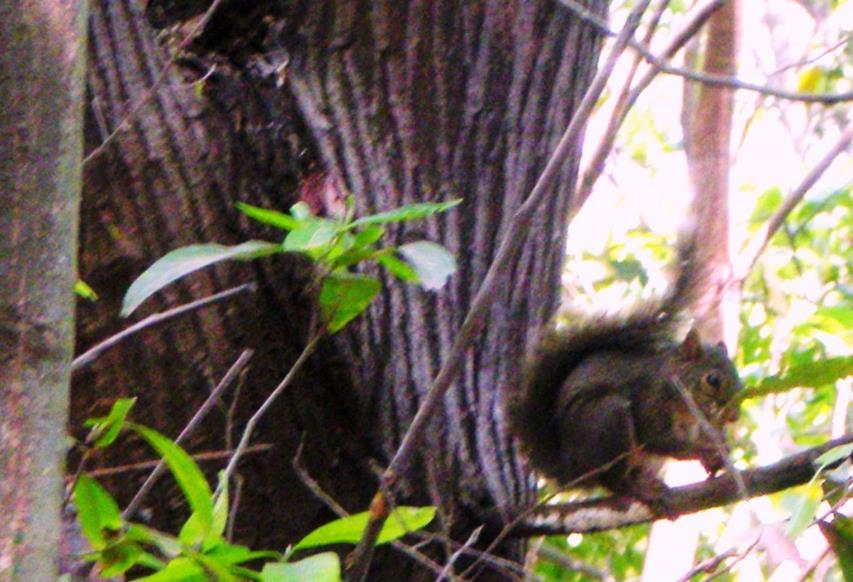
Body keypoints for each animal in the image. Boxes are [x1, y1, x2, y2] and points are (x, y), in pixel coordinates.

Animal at [502, 238, 744, 512]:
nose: (734, 416)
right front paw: (706, 449)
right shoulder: (650, 399)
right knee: (612, 479)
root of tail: (571, 469)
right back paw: (637, 489)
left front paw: (718, 454)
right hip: (608, 419)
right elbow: (659, 439)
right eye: (712, 381)